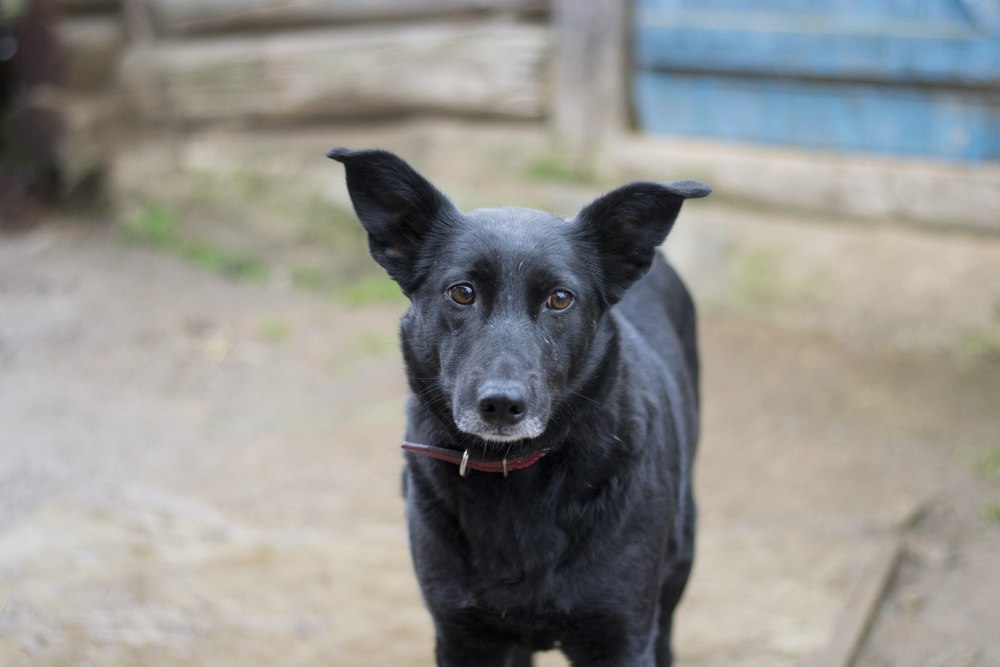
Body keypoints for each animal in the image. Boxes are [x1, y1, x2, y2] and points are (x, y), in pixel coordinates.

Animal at [330, 149, 712, 664]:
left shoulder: (623, 637)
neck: (517, 475)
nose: (501, 405)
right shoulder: (464, 636)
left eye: (560, 299)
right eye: (462, 292)